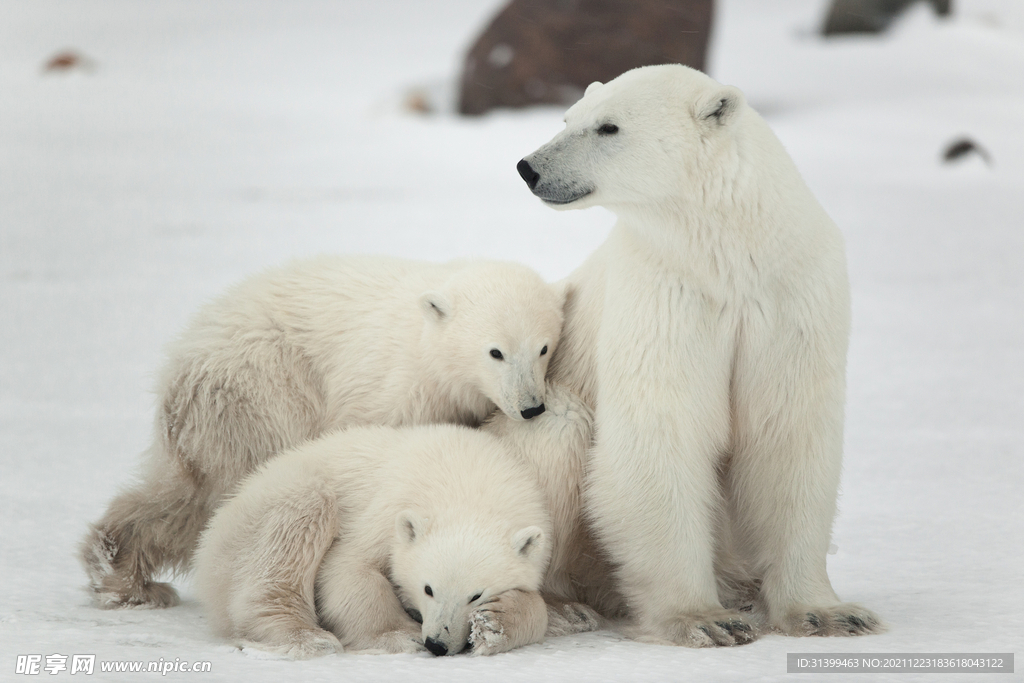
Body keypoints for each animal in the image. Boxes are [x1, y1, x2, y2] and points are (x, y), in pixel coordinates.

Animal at [82, 254, 565, 610]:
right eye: (496, 351)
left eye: (543, 347)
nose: (531, 406)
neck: (426, 349)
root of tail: (179, 361)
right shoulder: (385, 390)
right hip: (260, 391)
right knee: (217, 489)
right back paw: (125, 575)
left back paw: (122, 572)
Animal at [193, 421, 552, 655]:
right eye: (428, 588)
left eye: (476, 595)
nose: (437, 644)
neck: (468, 481)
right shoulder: (388, 507)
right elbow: (349, 569)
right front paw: (402, 636)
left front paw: (494, 626)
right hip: (258, 517)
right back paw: (308, 637)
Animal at [516, 66, 884, 651]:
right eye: (568, 117)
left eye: (608, 126)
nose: (529, 167)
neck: (728, 252)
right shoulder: (666, 293)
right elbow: (663, 432)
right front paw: (705, 619)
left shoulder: (790, 296)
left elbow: (787, 433)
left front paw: (829, 614)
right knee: (560, 433)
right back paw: (559, 608)